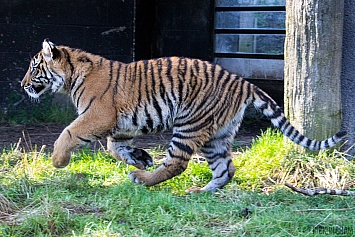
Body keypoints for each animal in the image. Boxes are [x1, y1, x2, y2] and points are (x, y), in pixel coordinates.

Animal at [20, 39, 346, 193]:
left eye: (34, 67)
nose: (22, 85)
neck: (71, 76)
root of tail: (243, 82)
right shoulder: (120, 124)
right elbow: (114, 147)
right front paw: (141, 157)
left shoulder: (98, 115)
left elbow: (69, 133)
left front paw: (58, 161)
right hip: (216, 135)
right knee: (226, 168)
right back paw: (200, 192)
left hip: (189, 124)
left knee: (178, 163)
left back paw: (142, 179)